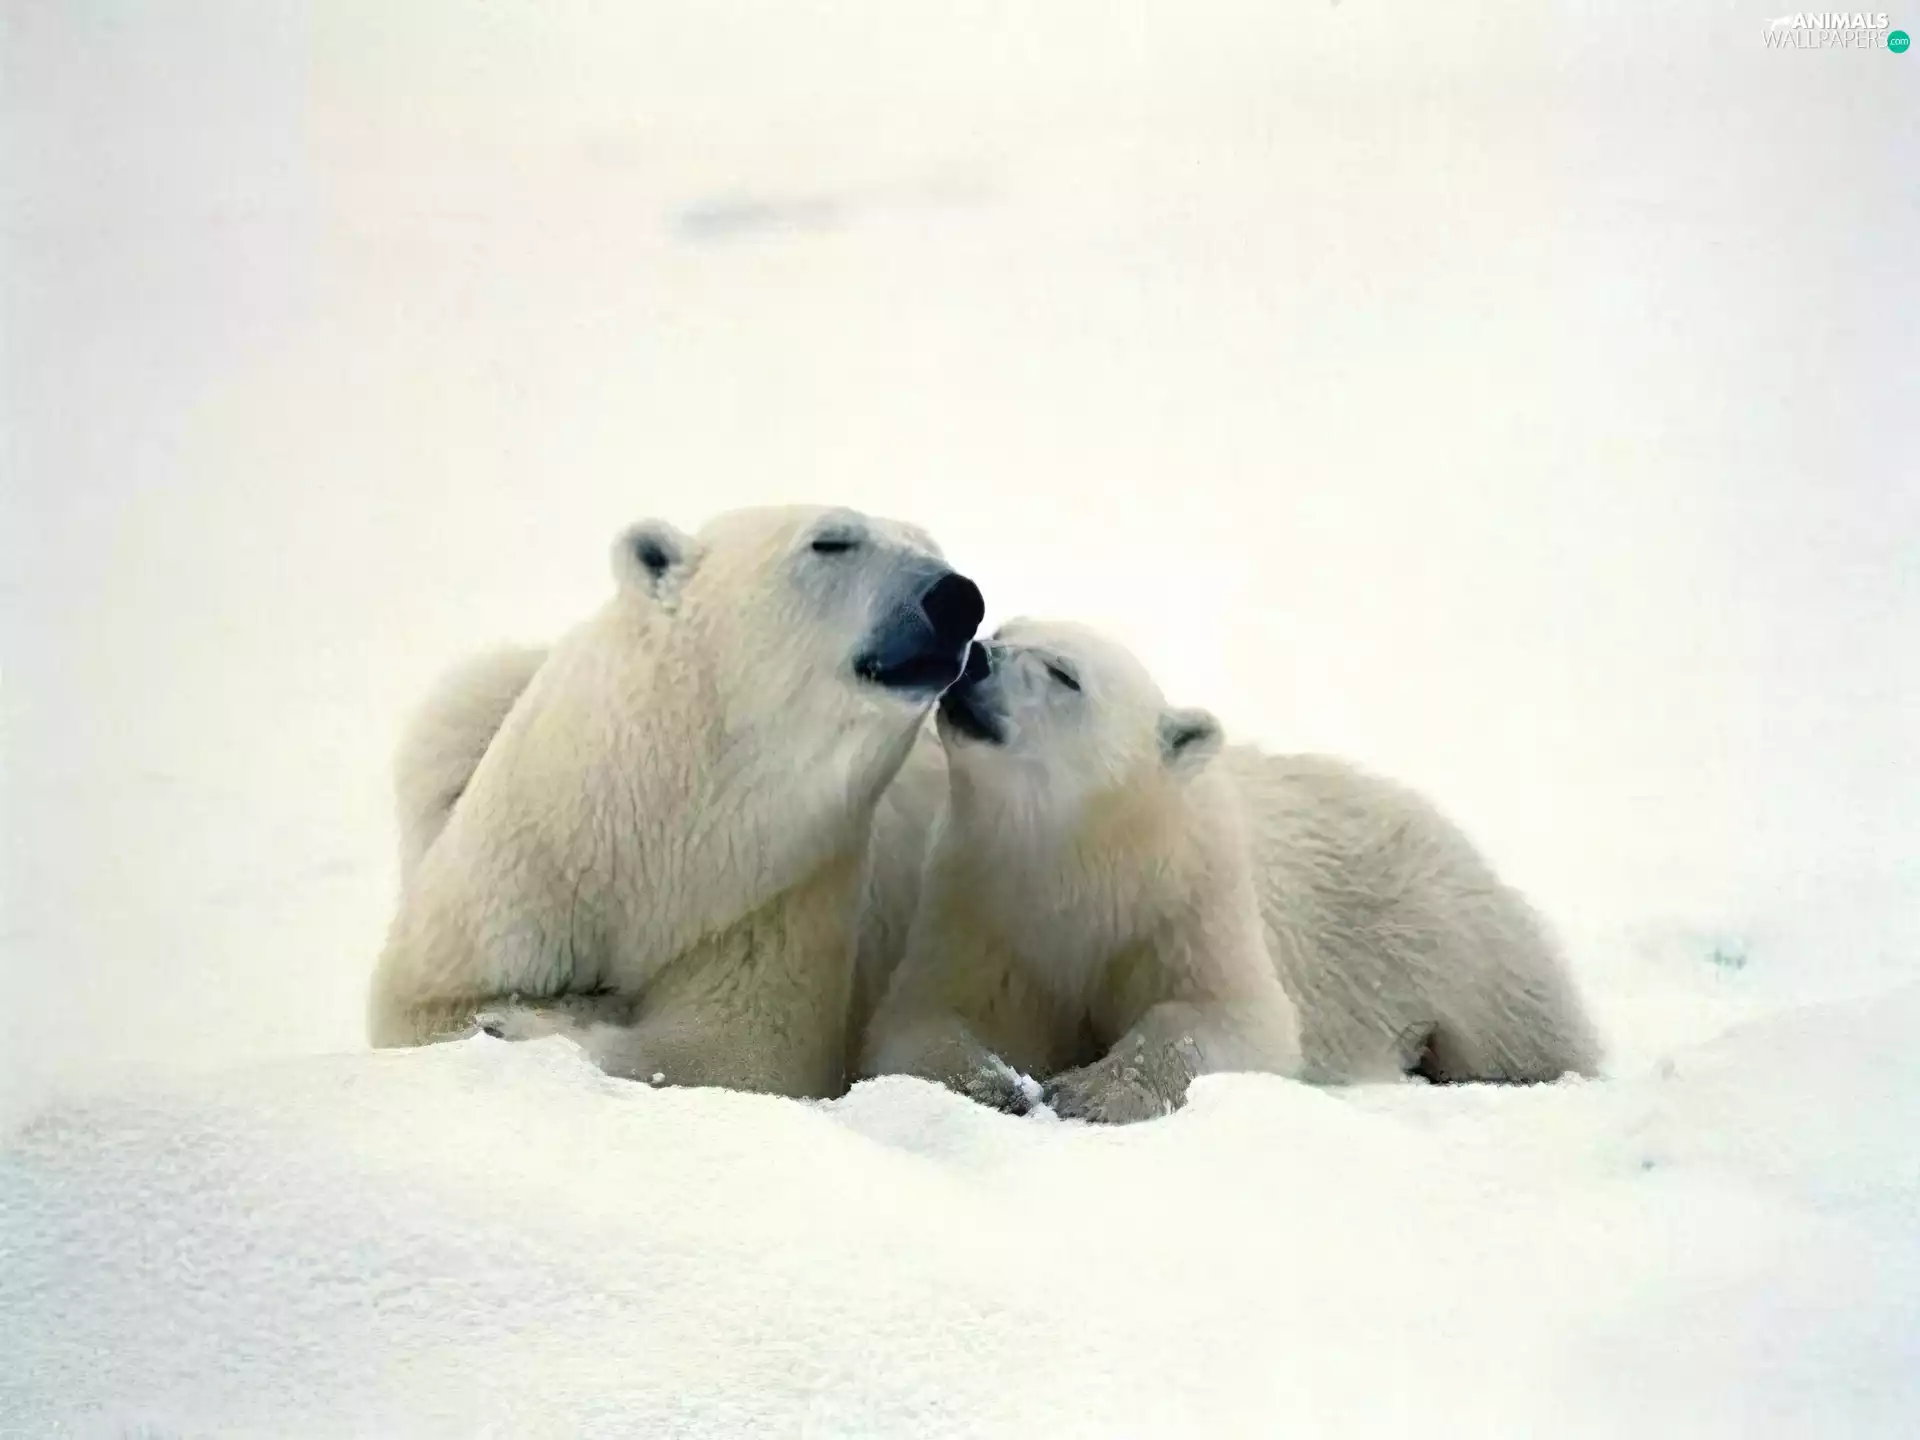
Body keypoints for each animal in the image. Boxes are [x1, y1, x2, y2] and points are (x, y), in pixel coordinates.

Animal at [366, 504, 984, 1101]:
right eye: (831, 541)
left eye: (933, 547)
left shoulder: (769, 899)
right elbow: (422, 1006)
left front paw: (520, 1023)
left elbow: (741, 1052)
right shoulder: (525, 870)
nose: (958, 599)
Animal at [858, 618, 1603, 1123]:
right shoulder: (986, 907)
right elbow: (928, 1017)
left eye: (1065, 673)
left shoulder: (1191, 901)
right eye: (1005, 629)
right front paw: (1001, 1084)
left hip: (1451, 941)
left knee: (1516, 1027)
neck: (1091, 860)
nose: (977, 656)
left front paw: (1091, 1091)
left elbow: (1227, 1017)